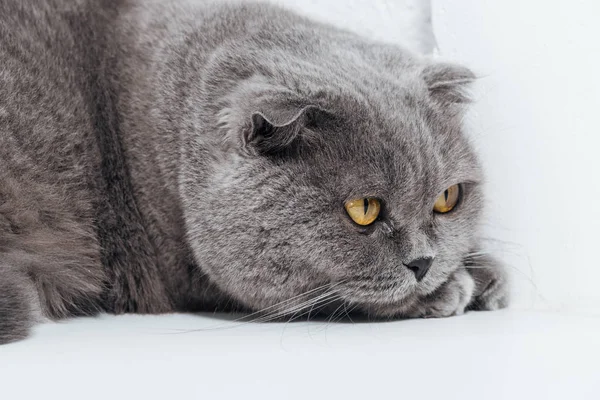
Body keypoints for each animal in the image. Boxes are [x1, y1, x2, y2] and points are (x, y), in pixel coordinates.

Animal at [0, 0, 506, 344]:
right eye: (363, 209)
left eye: (447, 199)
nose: (424, 263)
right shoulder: (177, 271)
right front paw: (454, 287)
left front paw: (482, 271)